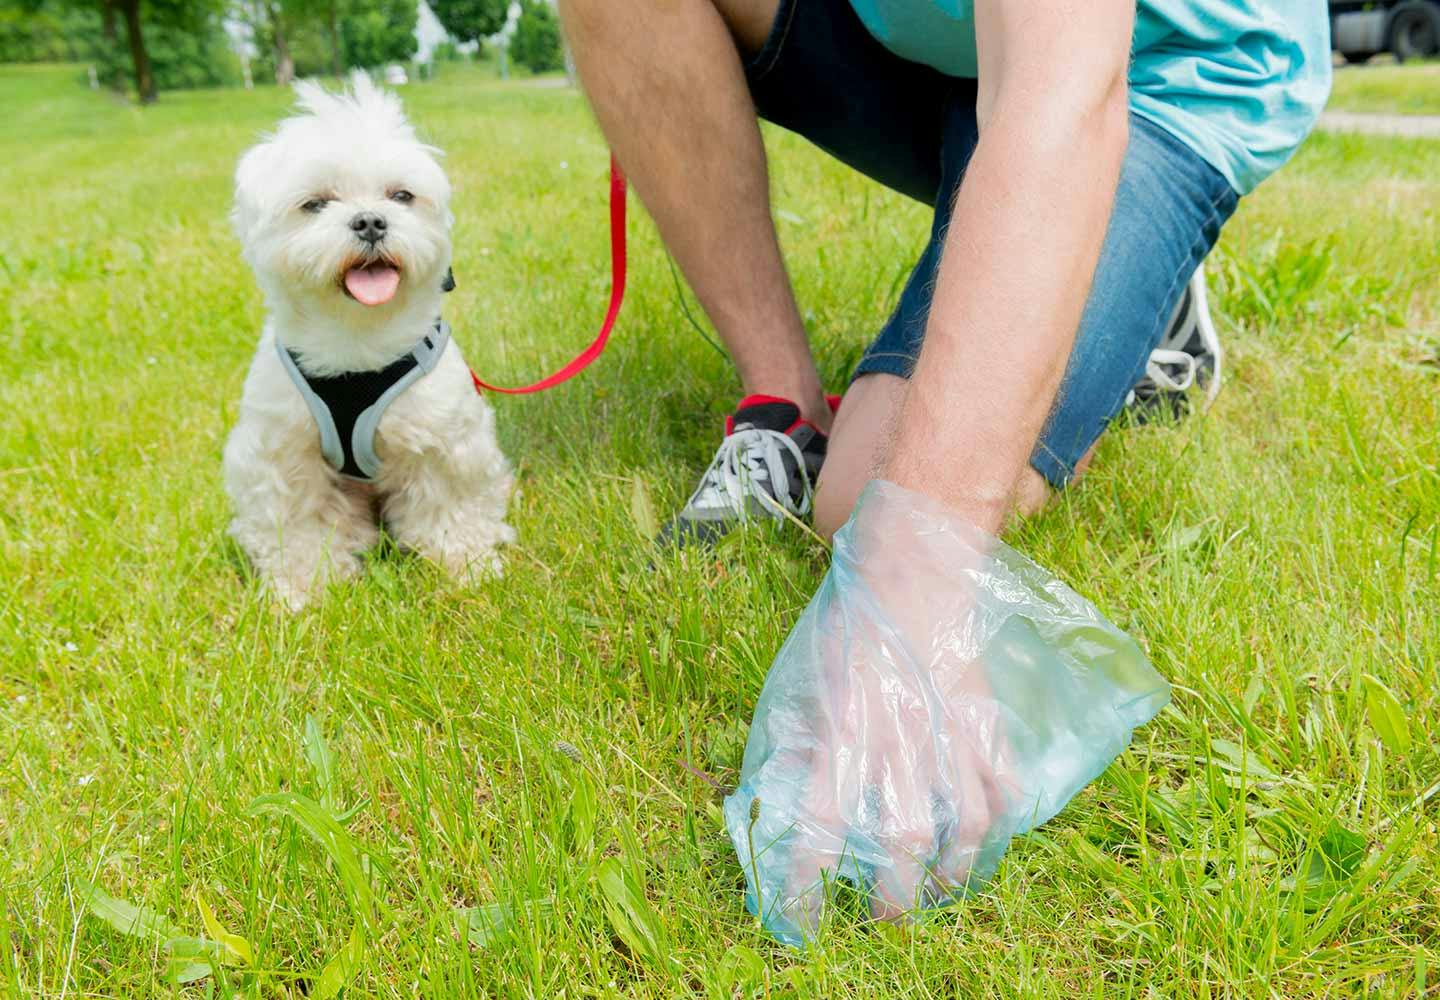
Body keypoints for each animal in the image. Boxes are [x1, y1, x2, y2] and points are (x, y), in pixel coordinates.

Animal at [221, 74, 515, 608]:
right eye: (315, 203)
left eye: (400, 196)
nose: (371, 221)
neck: (356, 342)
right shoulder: (280, 453)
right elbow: (297, 525)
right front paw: (302, 589)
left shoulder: (444, 438)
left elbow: (452, 508)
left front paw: (468, 566)